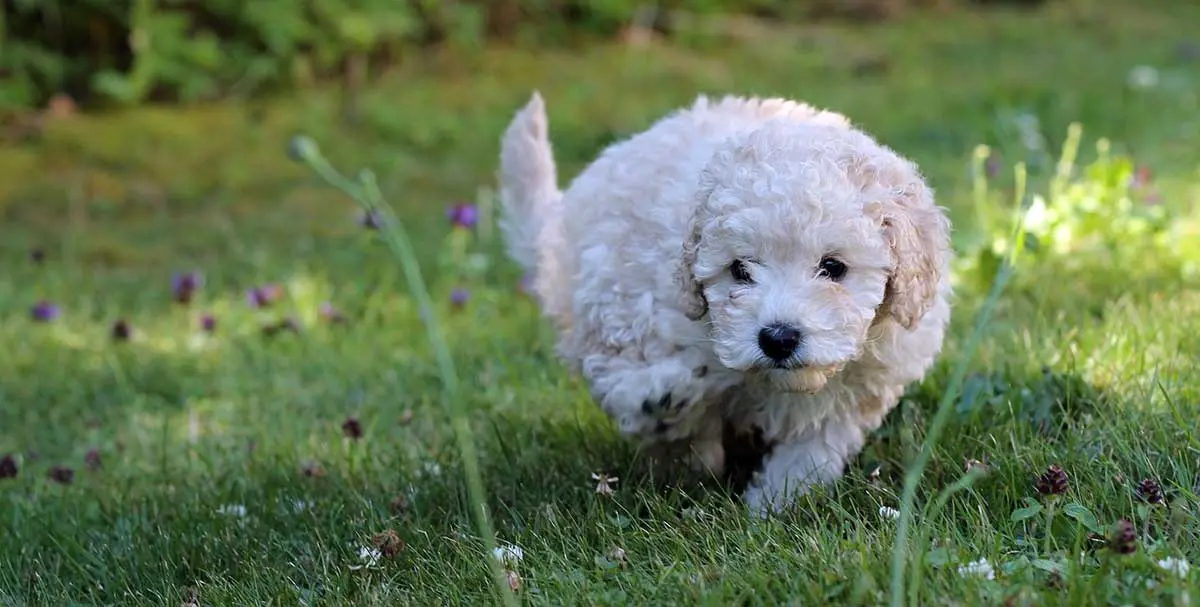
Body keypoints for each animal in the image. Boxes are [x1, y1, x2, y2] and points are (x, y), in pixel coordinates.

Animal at [492, 92, 950, 513]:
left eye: (833, 267)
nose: (778, 338)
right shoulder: (634, 312)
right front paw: (659, 402)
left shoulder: (859, 387)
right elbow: (630, 384)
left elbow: (813, 448)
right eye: (739, 269)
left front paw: (775, 503)